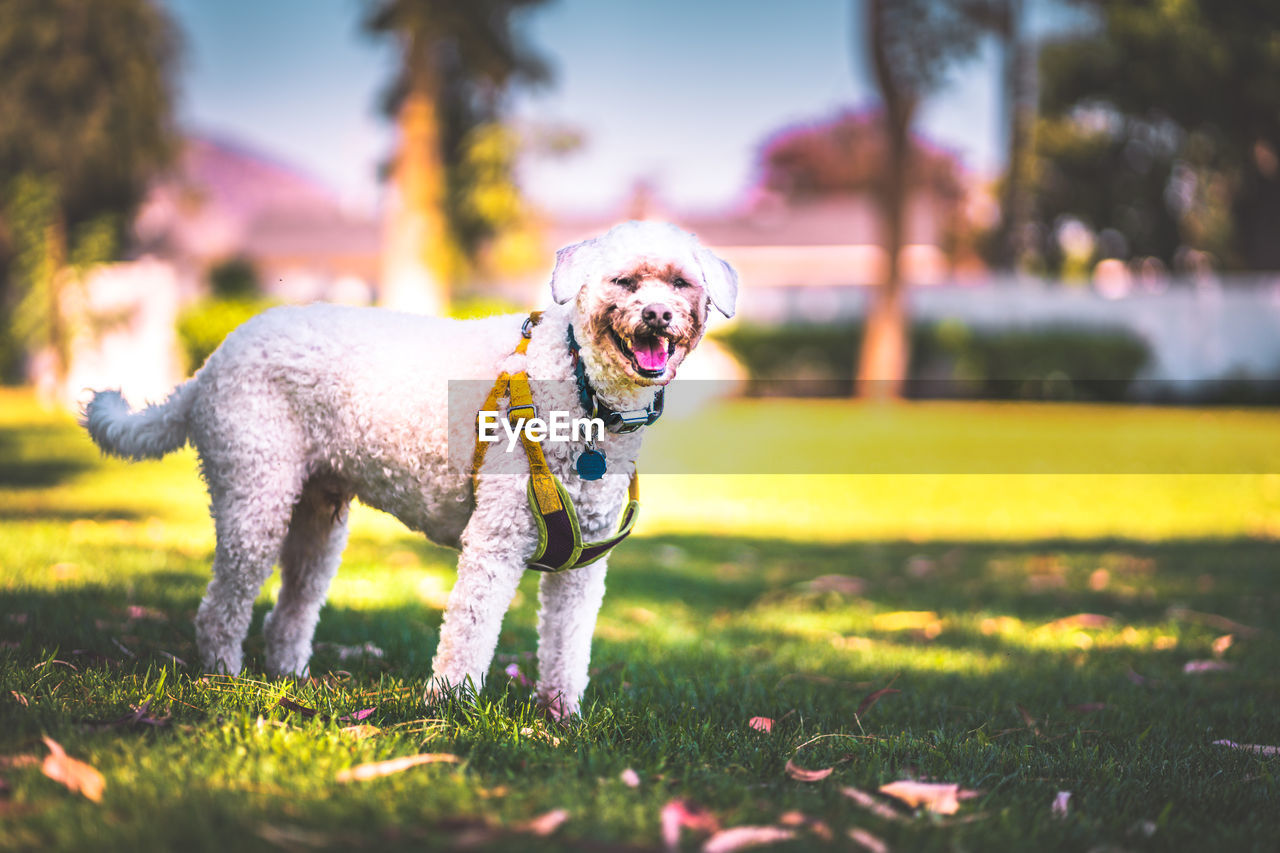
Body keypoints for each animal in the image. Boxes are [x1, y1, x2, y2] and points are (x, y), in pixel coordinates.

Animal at [82, 222, 742, 712]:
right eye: (624, 281)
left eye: (681, 283)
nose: (657, 315)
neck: (581, 389)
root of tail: (208, 368)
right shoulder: (495, 542)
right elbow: (469, 631)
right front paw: (450, 708)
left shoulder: (582, 564)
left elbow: (567, 646)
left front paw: (561, 717)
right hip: (255, 497)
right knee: (222, 605)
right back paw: (224, 674)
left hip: (317, 520)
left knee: (291, 608)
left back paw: (291, 680)